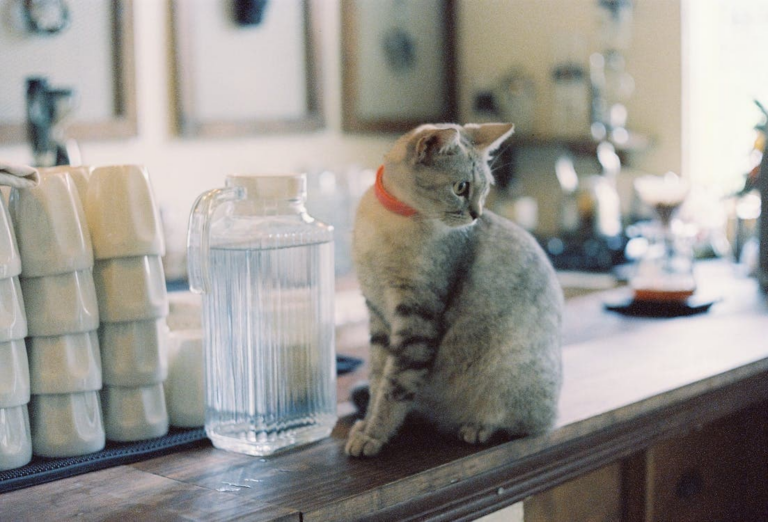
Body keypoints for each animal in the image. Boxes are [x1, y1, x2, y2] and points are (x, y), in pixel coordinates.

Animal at [344, 122, 560, 456]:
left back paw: (476, 428)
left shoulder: (416, 317)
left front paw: (374, 435)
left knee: (525, 424)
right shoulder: (377, 313)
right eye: (460, 188)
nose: (477, 214)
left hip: (512, 374)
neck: (392, 220)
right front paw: (366, 425)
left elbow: (394, 387)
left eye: (484, 189)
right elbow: (379, 378)